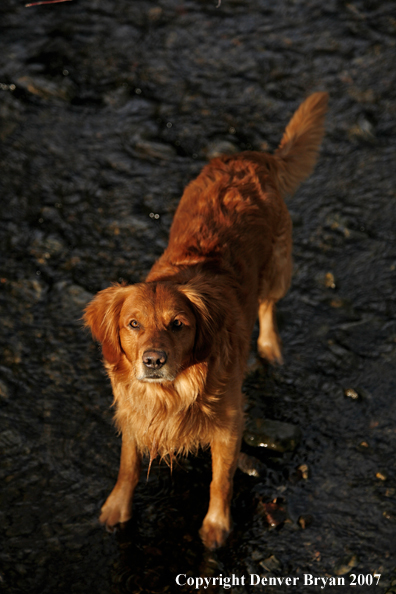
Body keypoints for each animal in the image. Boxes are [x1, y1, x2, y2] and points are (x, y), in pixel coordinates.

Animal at [85, 90, 330, 548]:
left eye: (178, 324)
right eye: (133, 324)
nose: (153, 360)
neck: (172, 393)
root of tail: (250, 156)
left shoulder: (229, 424)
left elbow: (221, 481)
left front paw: (216, 526)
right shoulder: (133, 413)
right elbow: (128, 466)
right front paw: (116, 507)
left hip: (278, 267)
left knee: (267, 306)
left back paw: (269, 347)